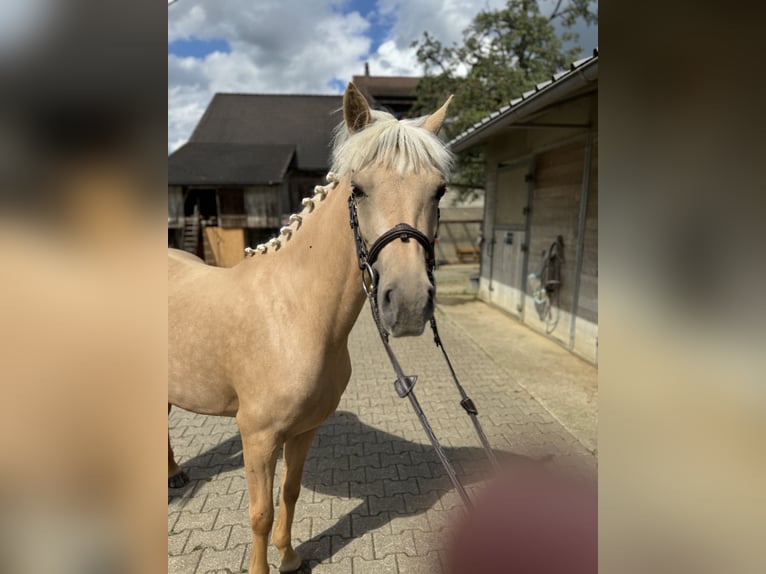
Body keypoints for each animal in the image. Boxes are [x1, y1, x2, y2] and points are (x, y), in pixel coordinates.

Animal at [168, 82, 452, 574]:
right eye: (358, 189)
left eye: (439, 190)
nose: (410, 304)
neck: (294, 314)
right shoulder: (258, 437)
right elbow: (260, 513)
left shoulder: (304, 431)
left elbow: (290, 493)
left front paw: (290, 558)